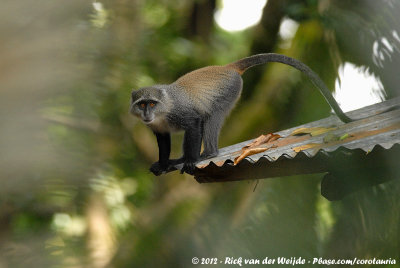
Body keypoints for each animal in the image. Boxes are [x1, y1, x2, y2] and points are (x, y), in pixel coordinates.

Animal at [131, 53, 360, 177]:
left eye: (151, 103)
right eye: (141, 104)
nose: (147, 113)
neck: (163, 111)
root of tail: (228, 67)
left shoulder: (181, 113)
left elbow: (195, 123)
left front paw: (189, 161)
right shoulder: (157, 127)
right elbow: (163, 140)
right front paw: (163, 164)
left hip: (229, 91)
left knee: (211, 117)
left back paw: (209, 153)